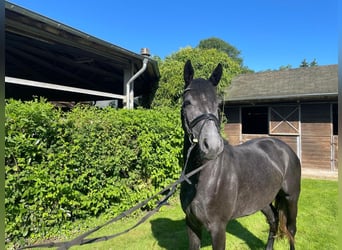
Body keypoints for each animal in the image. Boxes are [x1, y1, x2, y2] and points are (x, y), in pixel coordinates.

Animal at [180, 60, 300, 250]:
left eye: (218, 105)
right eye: (187, 103)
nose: (212, 146)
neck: (200, 177)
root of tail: (285, 149)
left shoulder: (218, 228)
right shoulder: (191, 224)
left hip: (291, 197)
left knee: (291, 229)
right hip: (263, 199)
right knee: (273, 220)